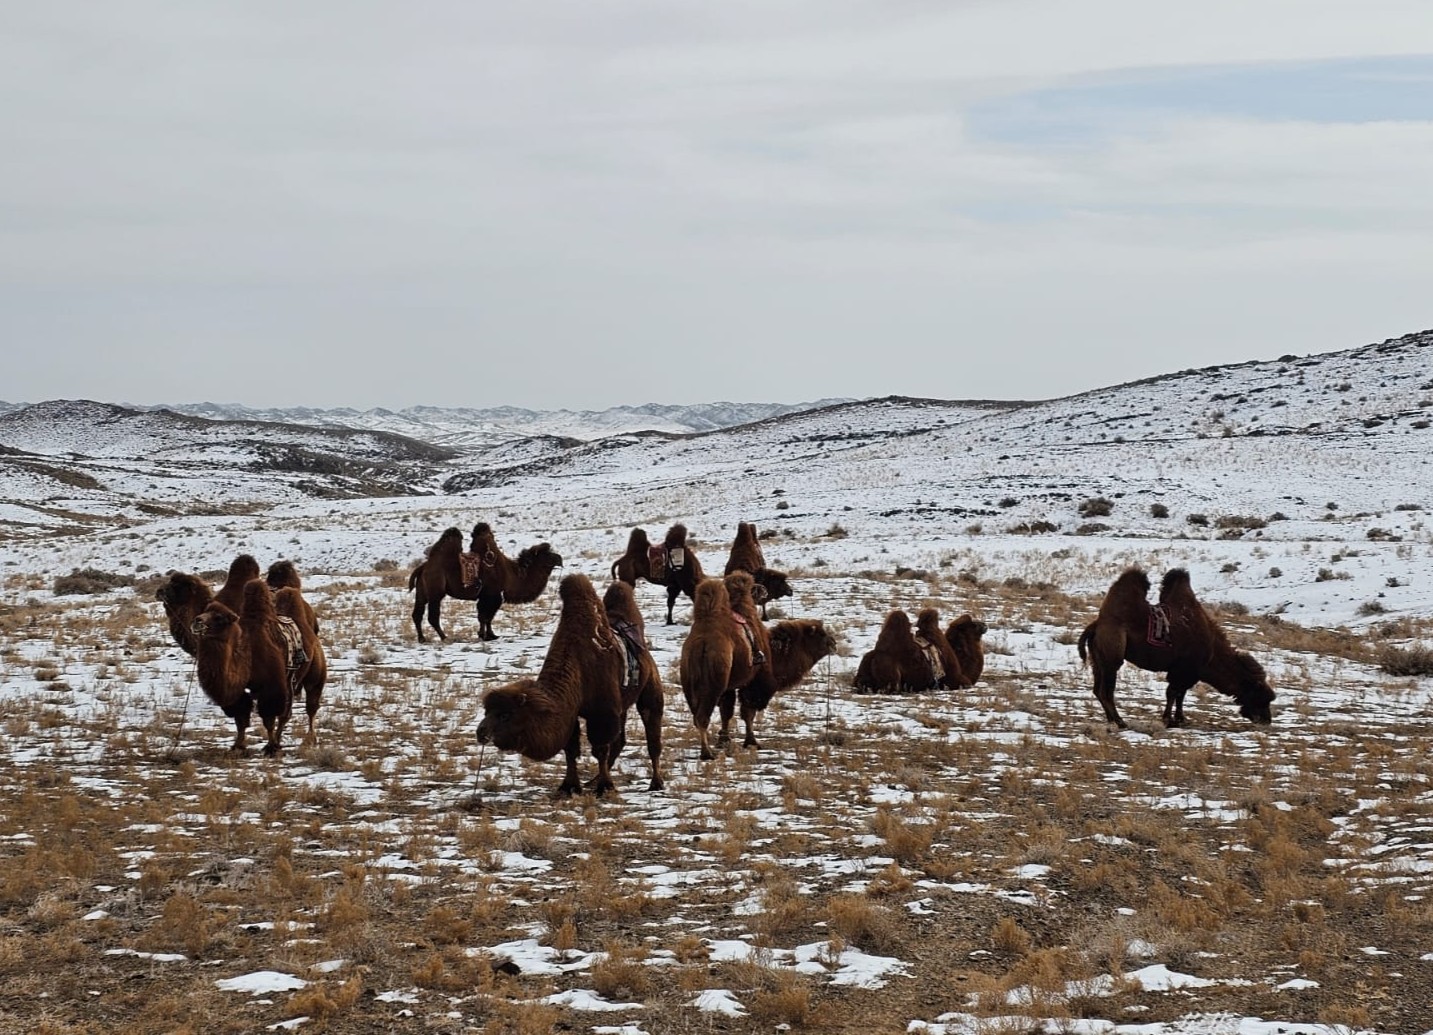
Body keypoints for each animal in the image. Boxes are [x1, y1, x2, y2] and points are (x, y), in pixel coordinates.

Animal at [191, 580, 322, 755]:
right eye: (204, 611)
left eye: (219, 617)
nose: (197, 621)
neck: (247, 656)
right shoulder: (238, 692)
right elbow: (240, 719)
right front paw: (238, 746)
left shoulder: (271, 687)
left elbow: (268, 719)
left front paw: (270, 748)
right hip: (291, 681)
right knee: (286, 713)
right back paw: (280, 740)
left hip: (315, 673)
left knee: (311, 705)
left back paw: (310, 739)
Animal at [409, 524, 563, 642]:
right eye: (547, 555)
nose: (560, 559)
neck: (512, 574)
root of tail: (423, 567)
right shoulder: (492, 595)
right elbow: (485, 616)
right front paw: (485, 636)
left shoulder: (488, 596)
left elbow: (486, 617)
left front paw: (489, 635)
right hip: (435, 590)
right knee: (432, 616)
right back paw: (444, 637)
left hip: (422, 591)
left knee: (417, 614)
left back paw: (422, 639)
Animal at [476, 574, 626, 796]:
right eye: (486, 711)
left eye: (506, 715)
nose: (481, 733)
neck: (579, 666)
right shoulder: (571, 714)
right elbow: (570, 750)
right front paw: (569, 787)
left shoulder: (603, 713)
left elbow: (600, 749)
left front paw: (605, 787)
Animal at [1077, 568, 1275, 729]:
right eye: (1260, 696)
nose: (1266, 720)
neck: (1212, 652)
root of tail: (1096, 625)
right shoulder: (1184, 670)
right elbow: (1173, 693)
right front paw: (1169, 720)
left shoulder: (1187, 673)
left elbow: (1180, 694)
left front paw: (1180, 719)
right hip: (1112, 658)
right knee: (1106, 691)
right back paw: (1120, 722)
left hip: (1098, 660)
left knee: (1098, 689)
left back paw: (1112, 720)